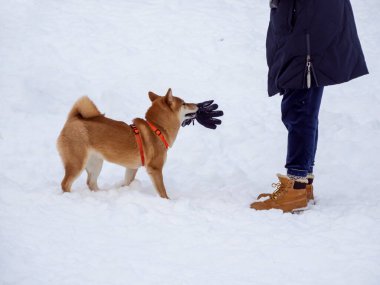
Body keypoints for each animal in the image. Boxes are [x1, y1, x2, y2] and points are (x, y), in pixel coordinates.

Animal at [58, 89, 199, 197]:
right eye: (184, 103)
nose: (197, 105)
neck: (157, 128)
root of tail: (73, 119)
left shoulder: (132, 168)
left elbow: (126, 182)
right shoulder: (155, 168)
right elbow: (163, 192)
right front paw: (167, 202)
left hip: (95, 163)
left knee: (91, 183)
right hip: (77, 164)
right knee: (65, 184)